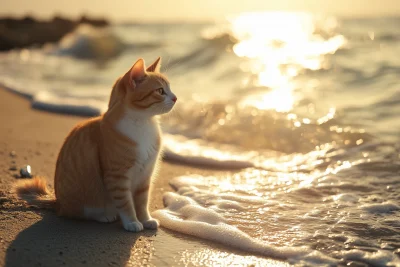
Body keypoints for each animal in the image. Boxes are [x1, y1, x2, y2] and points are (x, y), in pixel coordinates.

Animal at [16, 57, 177, 233]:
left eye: (170, 89)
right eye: (160, 91)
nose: (175, 98)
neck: (143, 123)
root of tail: (57, 203)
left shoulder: (145, 175)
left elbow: (142, 203)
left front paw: (146, 219)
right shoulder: (117, 177)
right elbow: (126, 203)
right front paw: (132, 222)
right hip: (84, 201)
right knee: (83, 213)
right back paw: (104, 216)